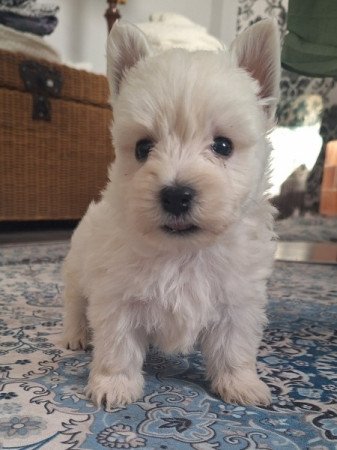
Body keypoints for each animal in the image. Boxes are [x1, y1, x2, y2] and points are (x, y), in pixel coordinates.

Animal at [62, 19, 278, 408]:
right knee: (73, 301)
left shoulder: (238, 301)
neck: (183, 253)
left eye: (223, 145)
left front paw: (241, 384)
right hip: (77, 268)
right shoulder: (117, 297)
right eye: (142, 147)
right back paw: (74, 335)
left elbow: (235, 348)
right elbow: (117, 347)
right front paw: (114, 385)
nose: (176, 195)